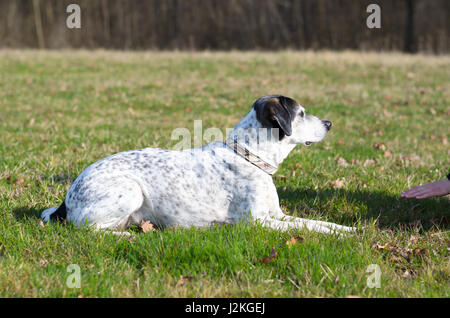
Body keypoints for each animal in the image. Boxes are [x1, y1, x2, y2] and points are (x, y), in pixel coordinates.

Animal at [43, 94, 356, 234]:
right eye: (301, 113)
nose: (329, 123)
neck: (250, 156)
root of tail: (65, 201)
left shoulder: (279, 216)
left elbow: (319, 223)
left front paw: (349, 231)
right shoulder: (259, 222)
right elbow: (309, 229)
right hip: (130, 190)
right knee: (89, 230)